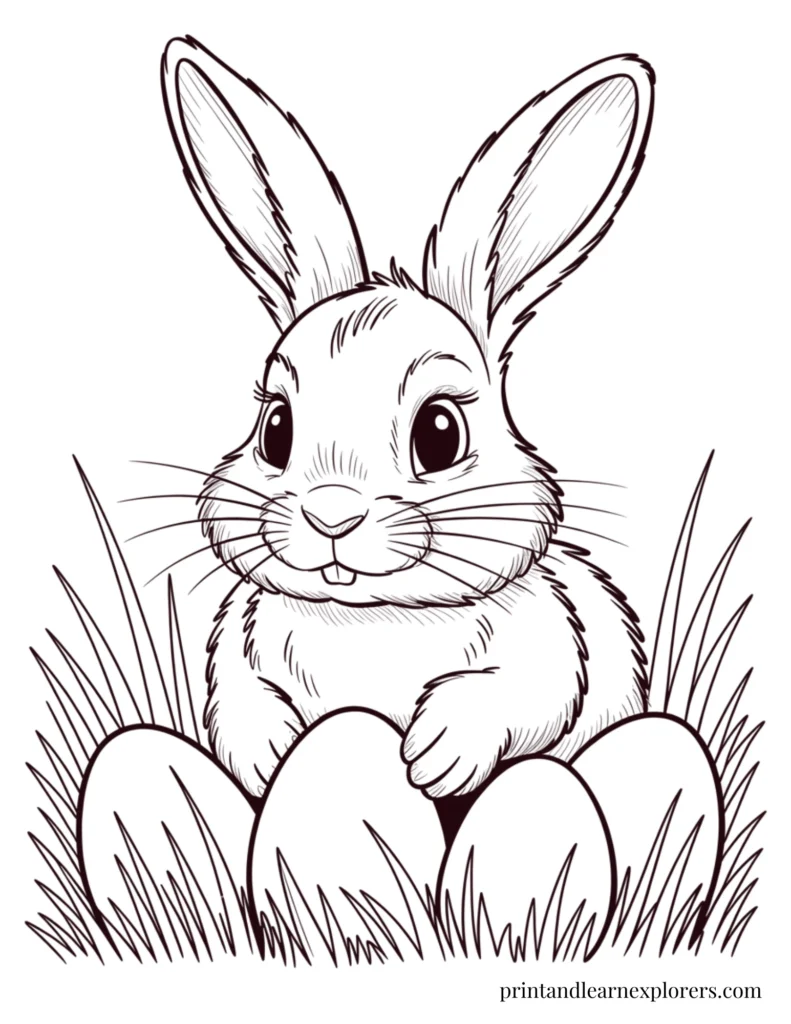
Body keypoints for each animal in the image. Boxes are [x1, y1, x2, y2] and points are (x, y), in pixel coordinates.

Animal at [160, 37, 653, 802]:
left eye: (441, 432)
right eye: (276, 428)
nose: (331, 513)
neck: (369, 622)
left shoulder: (551, 644)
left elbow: (524, 692)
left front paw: (435, 756)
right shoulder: (240, 639)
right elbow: (238, 695)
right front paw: (273, 755)